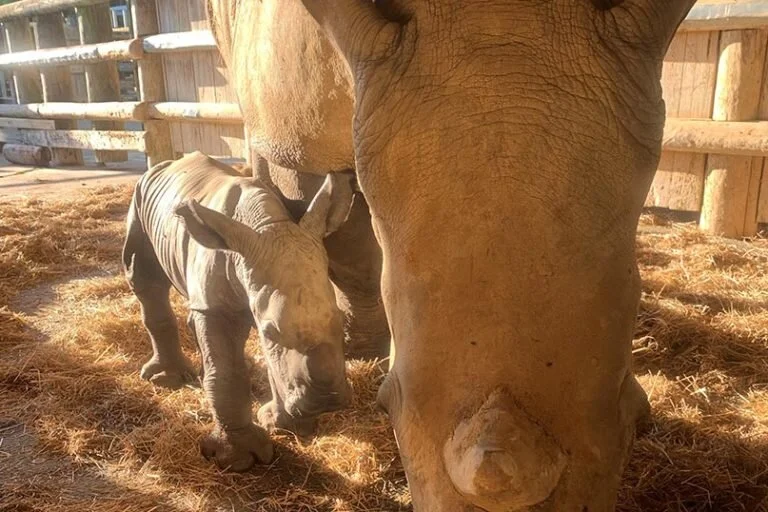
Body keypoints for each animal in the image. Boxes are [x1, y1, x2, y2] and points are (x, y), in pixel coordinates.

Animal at [122, 151, 353, 471]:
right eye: (270, 331)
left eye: (342, 321)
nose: (327, 400)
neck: (266, 226)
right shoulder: (219, 309)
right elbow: (228, 370)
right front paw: (239, 459)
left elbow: (274, 362)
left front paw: (286, 427)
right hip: (139, 197)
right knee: (145, 278)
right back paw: (167, 380)